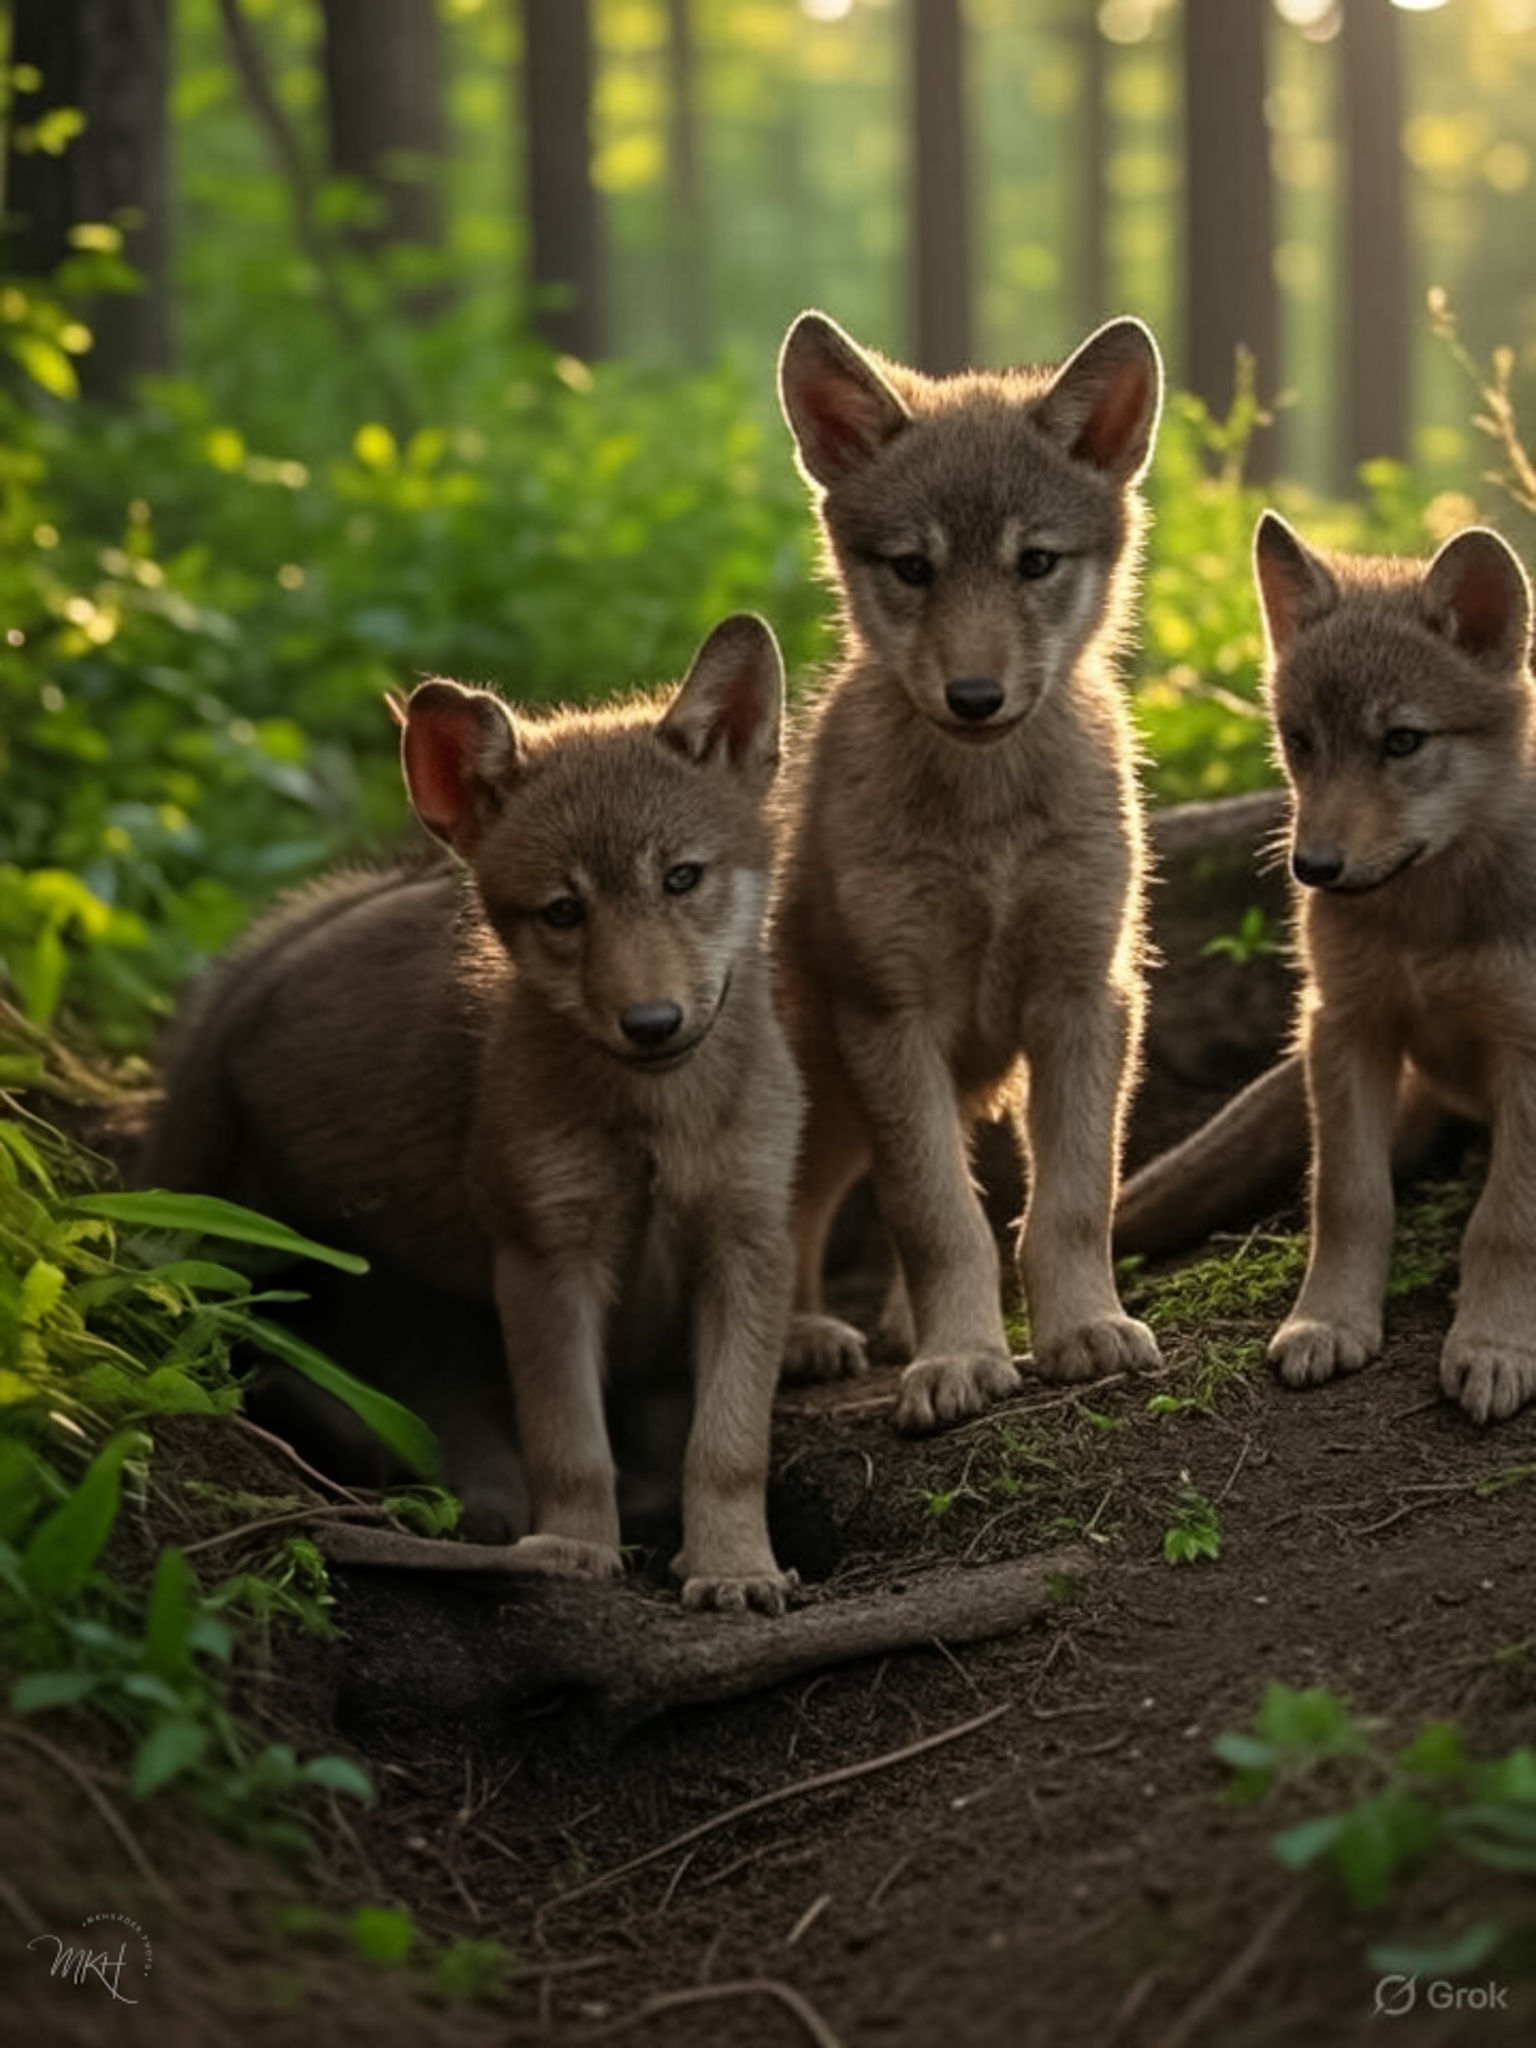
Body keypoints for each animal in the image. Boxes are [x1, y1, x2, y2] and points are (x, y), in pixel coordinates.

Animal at [137, 616, 802, 1610]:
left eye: (683, 879)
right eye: (563, 911)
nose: (651, 1023)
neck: (652, 1130)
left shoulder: (747, 1241)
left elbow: (726, 1447)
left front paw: (733, 1568)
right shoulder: (543, 1255)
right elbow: (572, 1444)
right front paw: (574, 1552)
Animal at [772, 310, 1165, 1432]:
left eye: (1035, 561)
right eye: (914, 569)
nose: (976, 696)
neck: (987, 824)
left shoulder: (1086, 994)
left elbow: (1067, 1202)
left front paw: (1084, 1330)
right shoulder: (890, 1016)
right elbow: (939, 1217)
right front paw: (958, 1360)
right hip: (823, 1090)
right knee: (798, 1224)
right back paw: (807, 1336)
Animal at [1122, 511, 1536, 1424]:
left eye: (1402, 742)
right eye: (1300, 742)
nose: (1311, 869)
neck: (1425, 922)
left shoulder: (1526, 1054)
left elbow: (1504, 1217)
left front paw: (1496, 1343)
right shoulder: (1344, 1026)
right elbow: (1348, 1198)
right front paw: (1330, 1321)